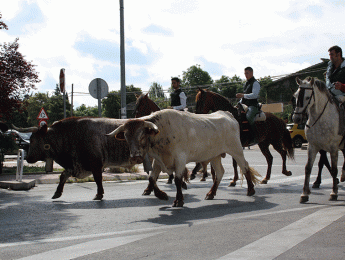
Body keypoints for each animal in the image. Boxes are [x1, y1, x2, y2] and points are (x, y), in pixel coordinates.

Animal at [107, 109, 258, 207]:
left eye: (142, 136)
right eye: (126, 137)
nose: (135, 157)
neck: (162, 131)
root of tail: (227, 114)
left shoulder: (180, 158)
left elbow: (178, 179)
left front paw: (179, 200)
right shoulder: (158, 161)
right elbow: (151, 178)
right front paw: (161, 195)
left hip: (236, 150)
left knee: (244, 166)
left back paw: (250, 190)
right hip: (214, 155)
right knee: (220, 172)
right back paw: (211, 193)